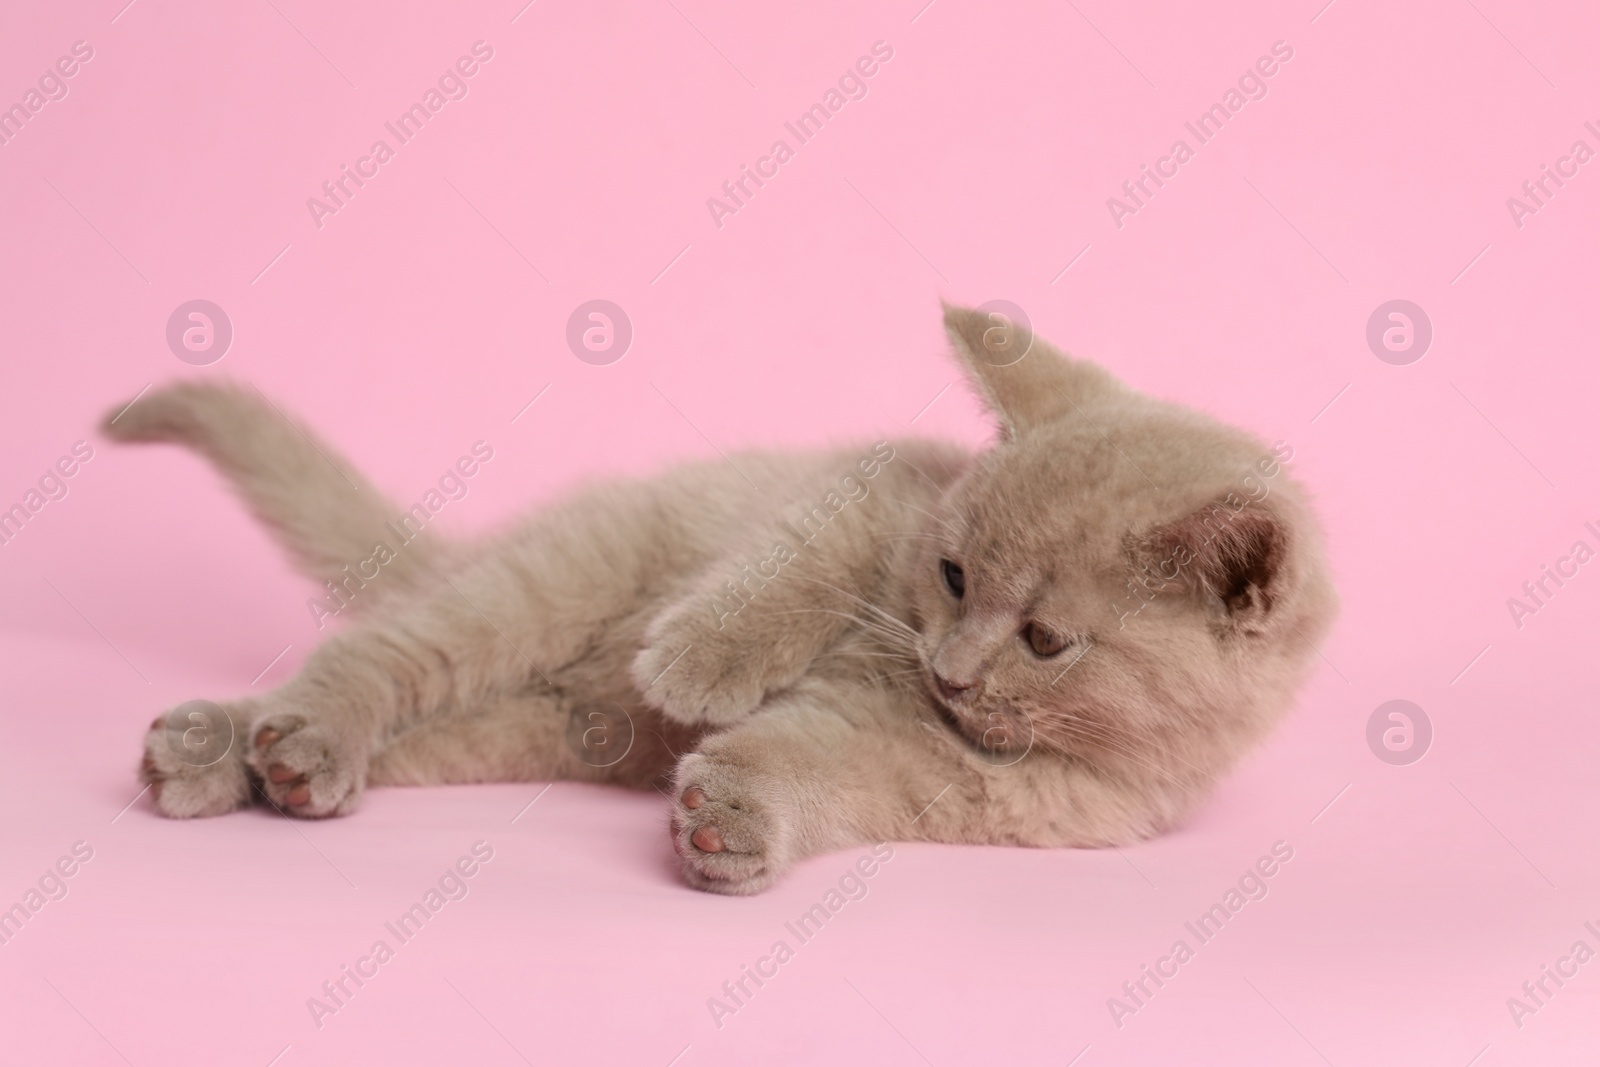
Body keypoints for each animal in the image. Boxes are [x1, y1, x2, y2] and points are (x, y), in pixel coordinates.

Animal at [109, 307, 1337, 895]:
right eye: (951, 576)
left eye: (1043, 640)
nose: (947, 669)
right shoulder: (870, 489)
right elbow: (786, 571)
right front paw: (697, 661)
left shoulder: (994, 791)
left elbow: (825, 767)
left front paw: (736, 815)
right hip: (558, 577)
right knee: (378, 658)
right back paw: (256, 739)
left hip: (540, 727)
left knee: (425, 723)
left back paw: (263, 765)